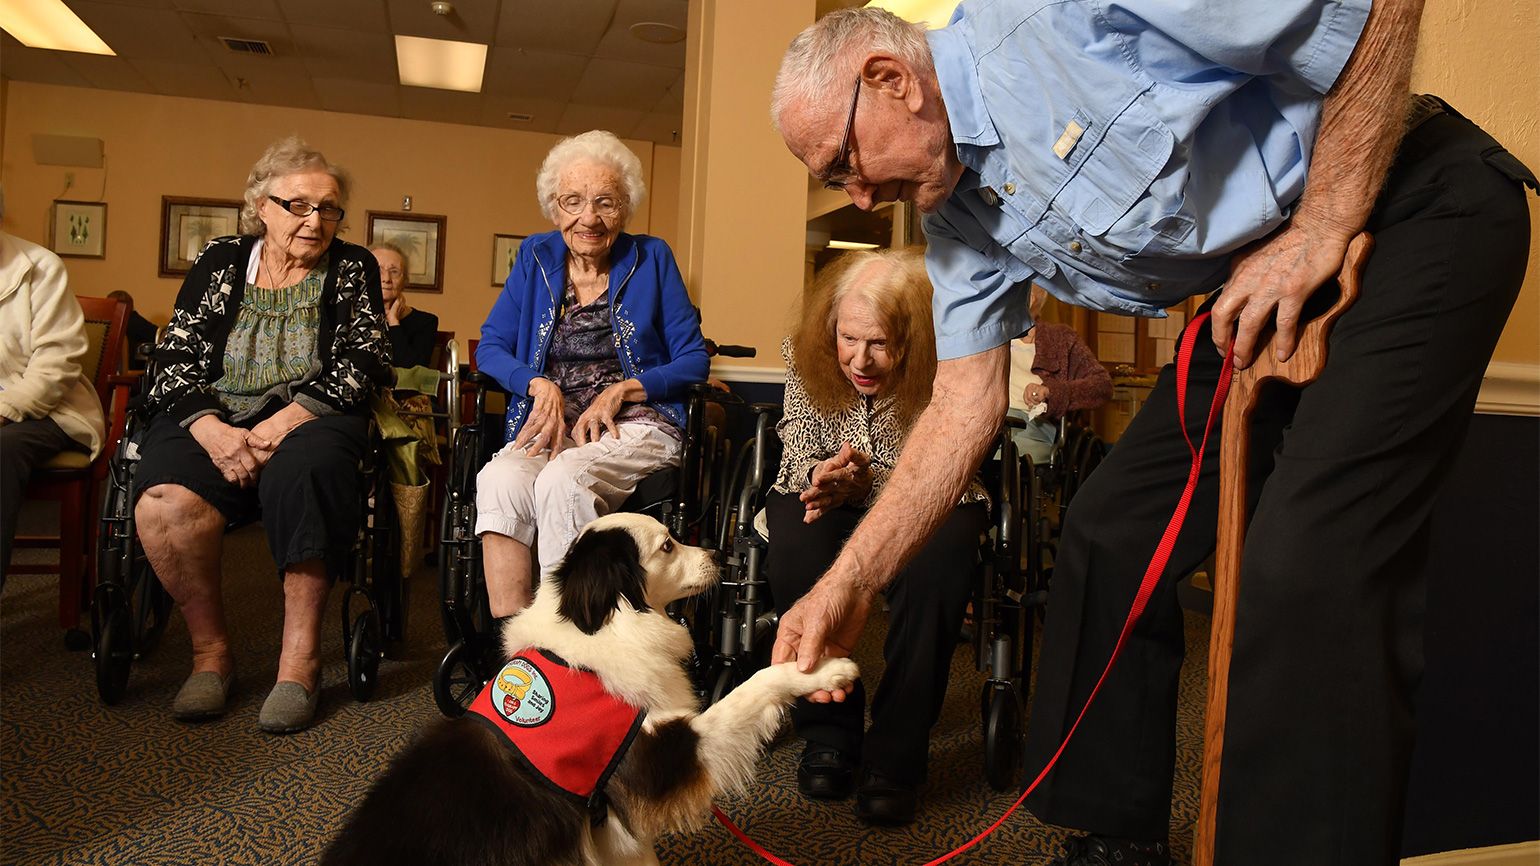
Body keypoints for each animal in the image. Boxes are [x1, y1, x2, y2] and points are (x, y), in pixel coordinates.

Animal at [324, 511, 862, 862]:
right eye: (668, 545)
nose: (720, 555)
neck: (603, 624)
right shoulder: (656, 757)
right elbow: (748, 690)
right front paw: (824, 670)